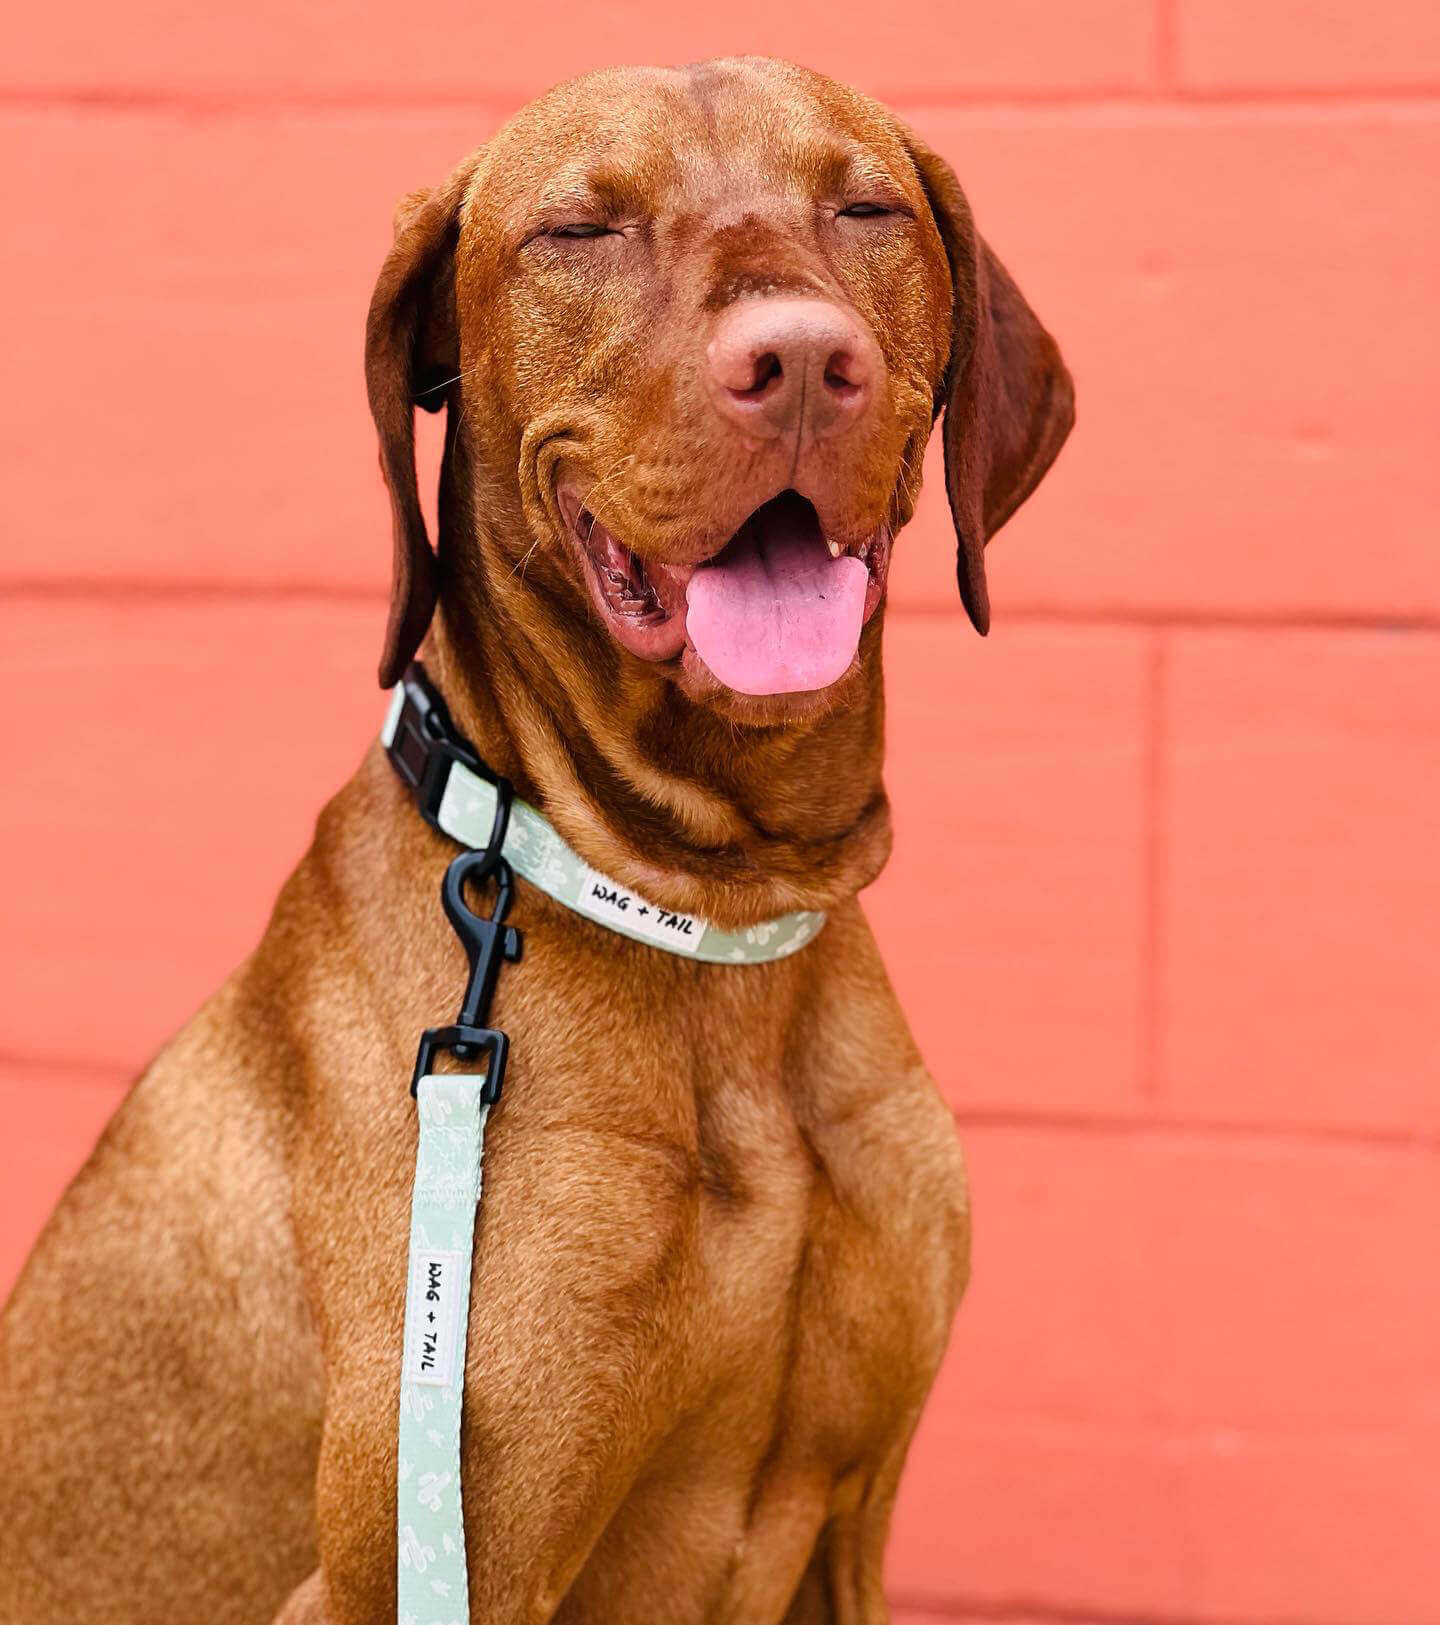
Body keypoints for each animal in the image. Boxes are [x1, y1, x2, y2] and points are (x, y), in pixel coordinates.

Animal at [0, 54, 1072, 1625]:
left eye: (868, 206)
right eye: (578, 231)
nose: (803, 362)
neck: (713, 912)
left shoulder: (851, 1525)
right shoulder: (424, 1557)